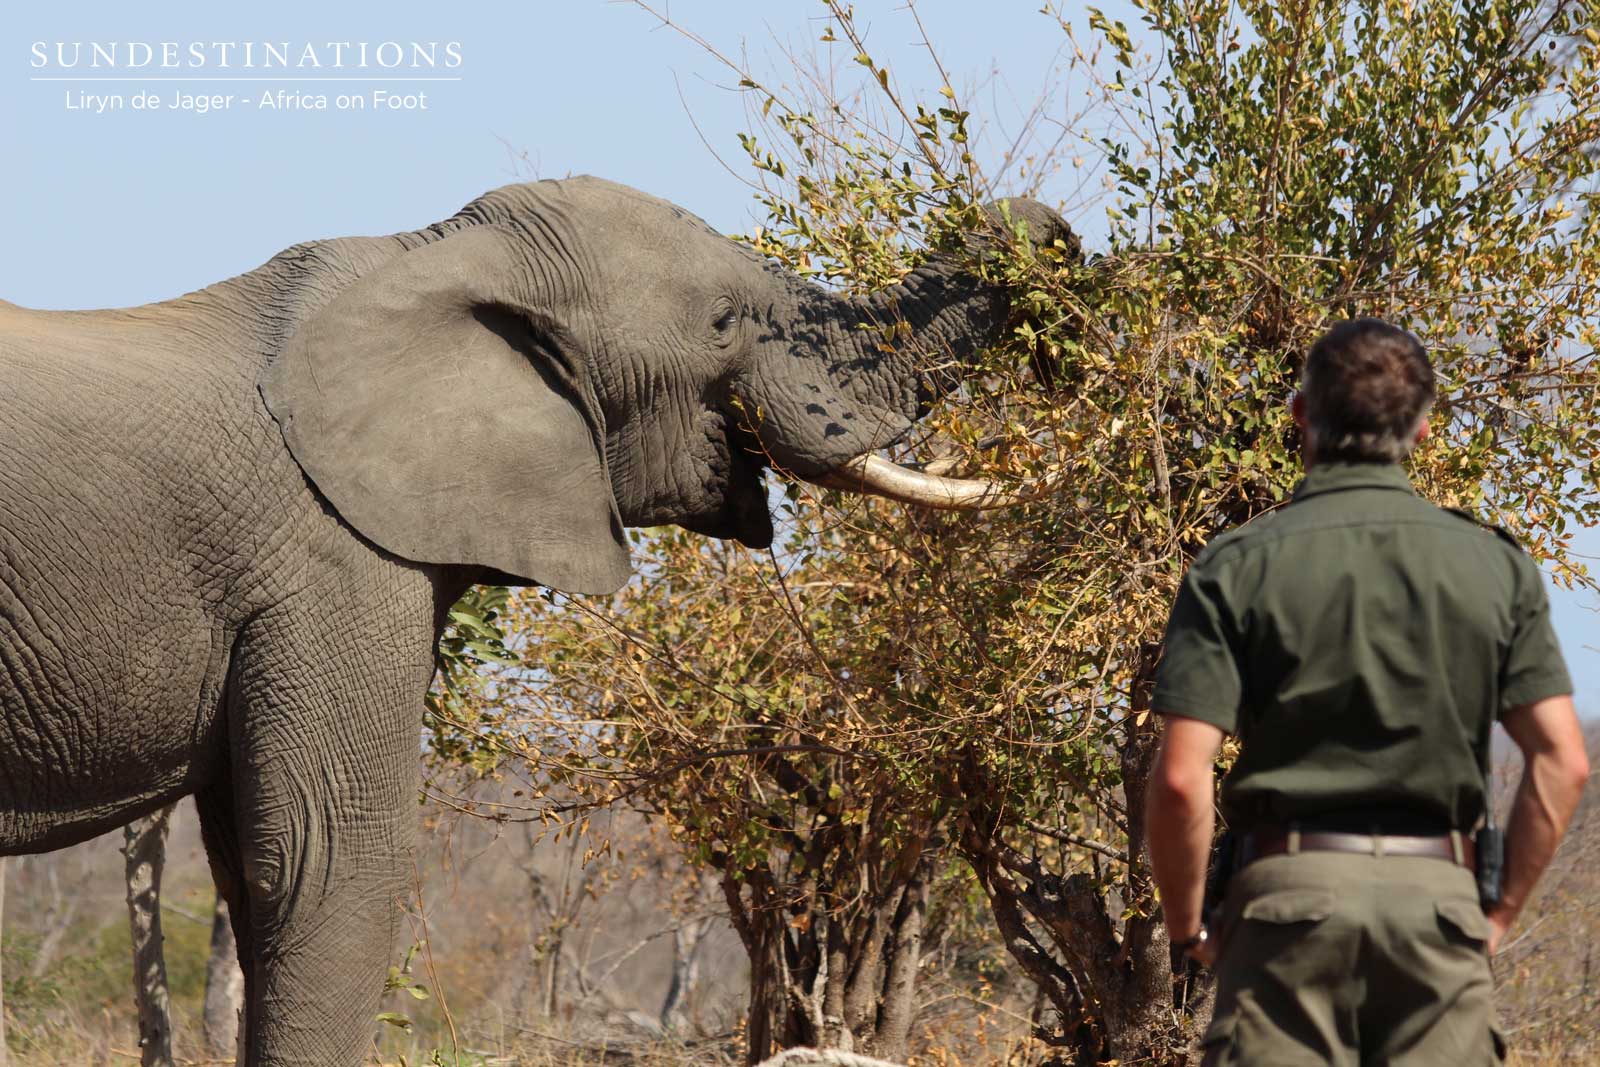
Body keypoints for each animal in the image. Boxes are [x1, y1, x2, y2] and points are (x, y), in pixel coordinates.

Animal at [0, 176, 1071, 1066]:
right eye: (724, 322)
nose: (1057, 236)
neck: (430, 252)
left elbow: (257, 872)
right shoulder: (333, 558)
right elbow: (326, 858)